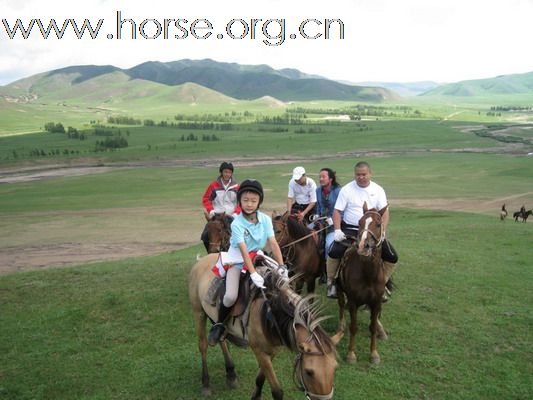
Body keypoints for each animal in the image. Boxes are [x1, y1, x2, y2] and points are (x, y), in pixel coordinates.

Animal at [187, 255, 340, 398]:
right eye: (309, 372)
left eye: (335, 368)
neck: (270, 312)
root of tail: (201, 260)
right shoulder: (259, 351)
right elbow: (277, 391)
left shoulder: (272, 350)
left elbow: (260, 379)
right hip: (198, 312)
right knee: (203, 346)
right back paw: (206, 383)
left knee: (221, 339)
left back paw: (231, 374)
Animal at [334, 205, 388, 364]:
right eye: (359, 222)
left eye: (378, 224)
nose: (364, 246)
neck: (368, 275)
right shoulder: (353, 302)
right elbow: (353, 327)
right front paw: (351, 354)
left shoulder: (376, 302)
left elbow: (373, 327)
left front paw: (374, 354)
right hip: (339, 289)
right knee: (341, 306)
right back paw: (341, 326)